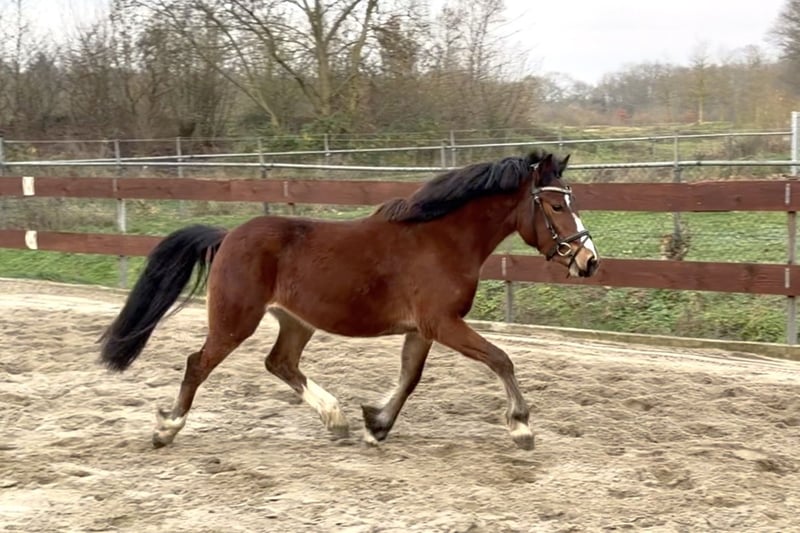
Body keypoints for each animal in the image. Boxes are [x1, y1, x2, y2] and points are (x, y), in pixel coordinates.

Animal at [98, 149, 599, 451]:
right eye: (557, 206)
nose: (588, 260)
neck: (441, 240)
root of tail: (227, 237)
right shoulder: (443, 323)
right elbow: (501, 359)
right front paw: (522, 426)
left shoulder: (423, 329)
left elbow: (410, 378)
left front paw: (375, 425)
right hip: (235, 321)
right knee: (197, 364)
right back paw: (167, 428)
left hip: (296, 320)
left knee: (280, 363)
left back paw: (335, 418)